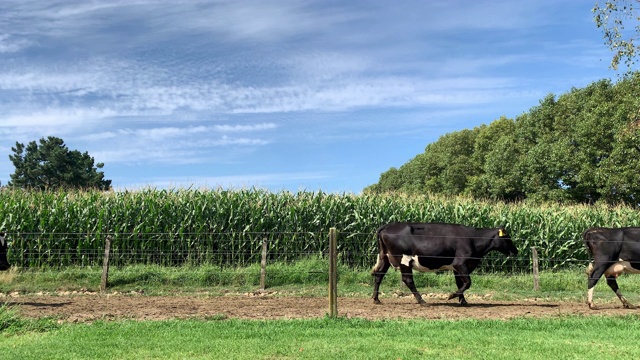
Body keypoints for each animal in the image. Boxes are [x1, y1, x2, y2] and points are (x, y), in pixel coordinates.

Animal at [372, 224, 516, 306]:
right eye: (507, 237)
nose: (516, 251)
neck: (473, 239)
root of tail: (387, 226)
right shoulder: (460, 264)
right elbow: (468, 282)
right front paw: (452, 296)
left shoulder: (457, 268)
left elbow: (460, 283)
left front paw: (463, 301)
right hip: (404, 260)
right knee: (408, 280)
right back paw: (422, 301)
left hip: (385, 258)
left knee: (379, 275)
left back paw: (376, 299)